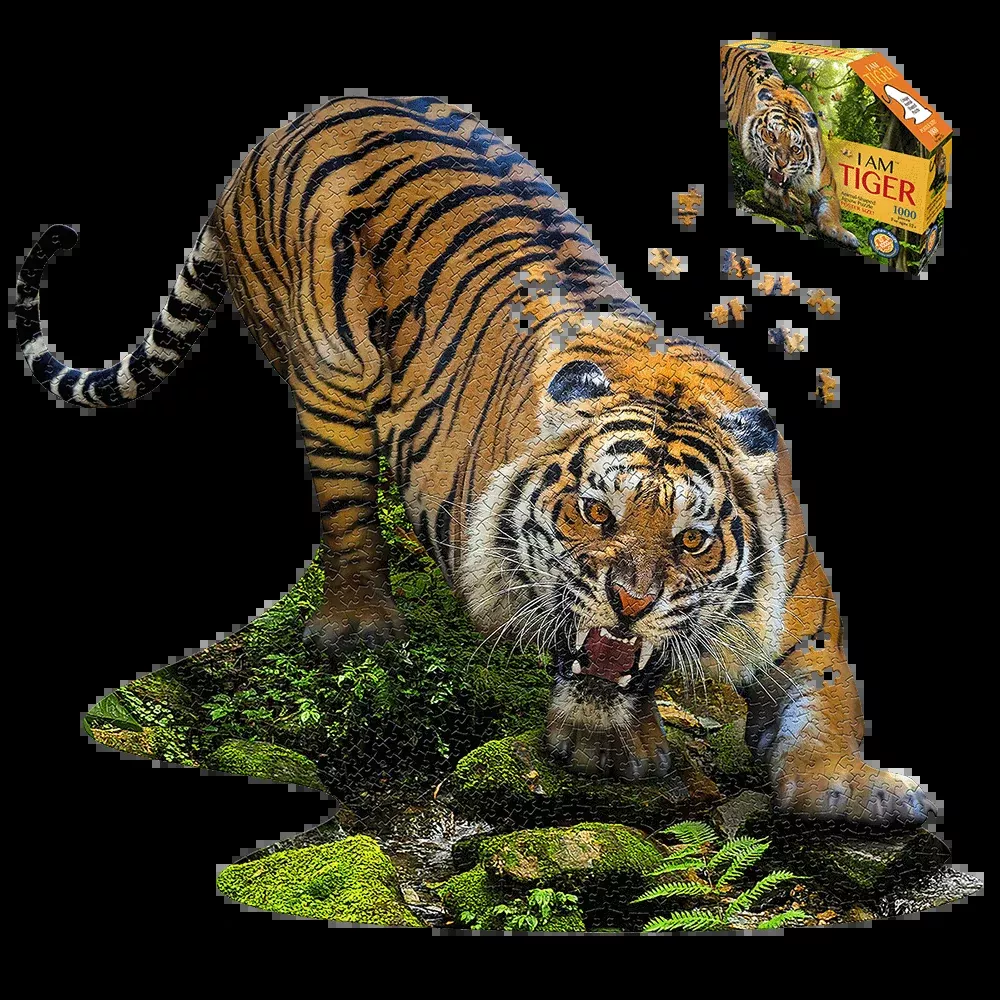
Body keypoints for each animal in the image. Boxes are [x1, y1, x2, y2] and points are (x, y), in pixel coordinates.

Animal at [17, 95, 929, 825]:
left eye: (693, 541)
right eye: (594, 512)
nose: (630, 605)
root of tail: (281, 131)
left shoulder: (801, 604)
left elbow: (829, 685)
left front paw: (851, 786)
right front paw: (608, 748)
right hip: (331, 380)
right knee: (347, 517)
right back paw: (361, 625)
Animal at [721, 46, 860, 249]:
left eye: (795, 149)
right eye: (771, 135)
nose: (781, 163)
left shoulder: (826, 182)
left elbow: (831, 207)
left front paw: (840, 232)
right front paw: (785, 202)